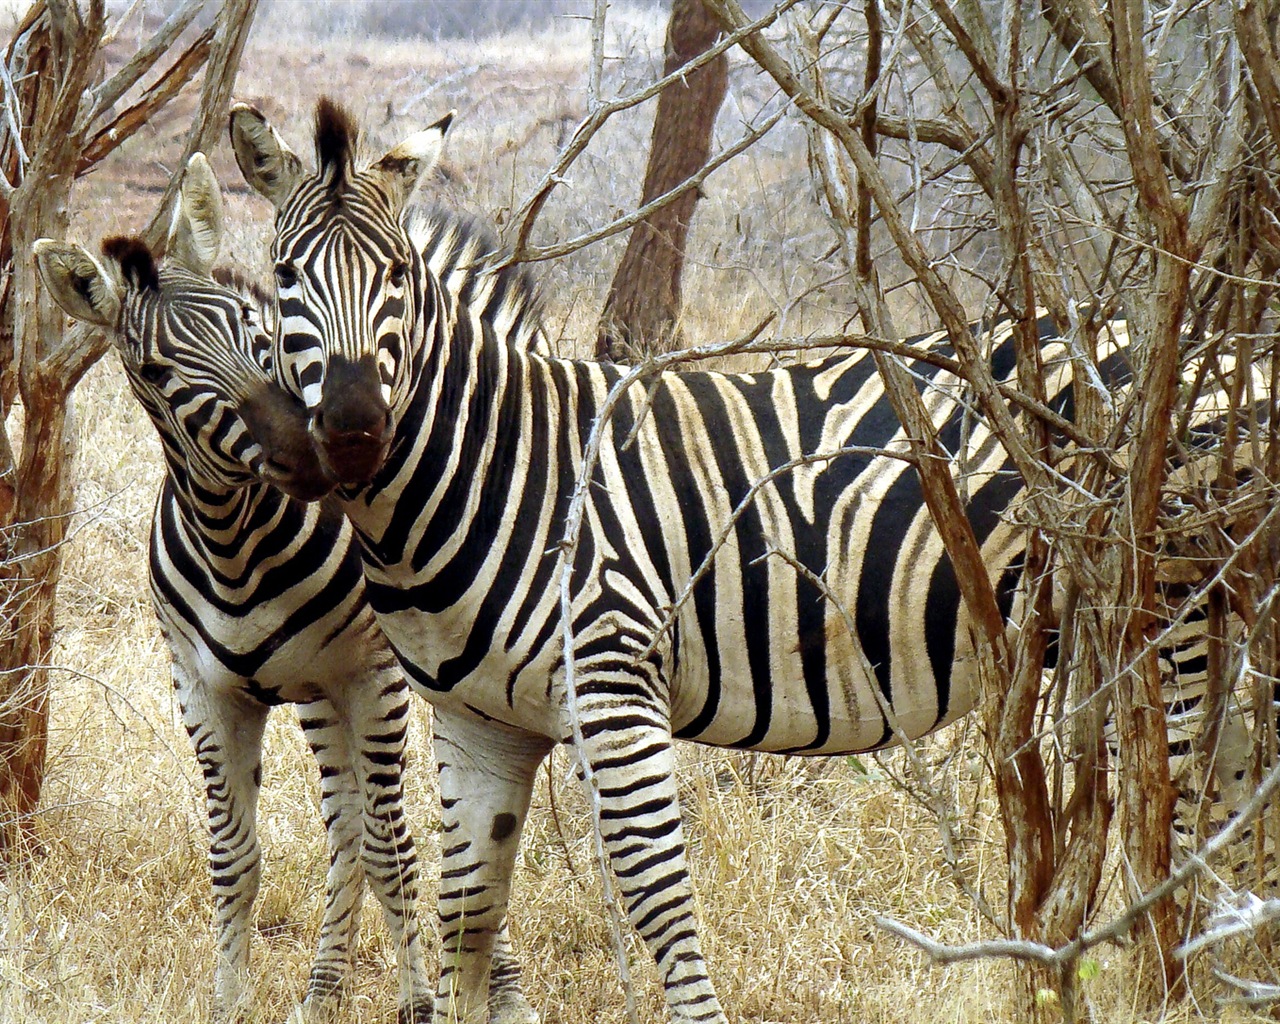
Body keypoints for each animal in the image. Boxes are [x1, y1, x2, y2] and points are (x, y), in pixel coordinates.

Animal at [33, 154, 545, 1024]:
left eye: (254, 328)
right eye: (155, 373)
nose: (311, 457)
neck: (235, 542)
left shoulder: (372, 674)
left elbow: (395, 847)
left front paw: (422, 1000)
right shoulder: (205, 690)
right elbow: (236, 856)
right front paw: (230, 1002)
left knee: (436, 829)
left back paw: (496, 988)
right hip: (314, 694)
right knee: (348, 827)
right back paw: (325, 988)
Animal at [227, 97, 1259, 1024]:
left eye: (398, 276)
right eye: (284, 276)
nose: (354, 431)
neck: (500, 466)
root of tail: (1184, 341)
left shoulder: (614, 678)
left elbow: (658, 897)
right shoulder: (482, 724)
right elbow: (469, 919)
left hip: (1165, 610)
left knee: (1192, 810)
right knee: (1232, 798)